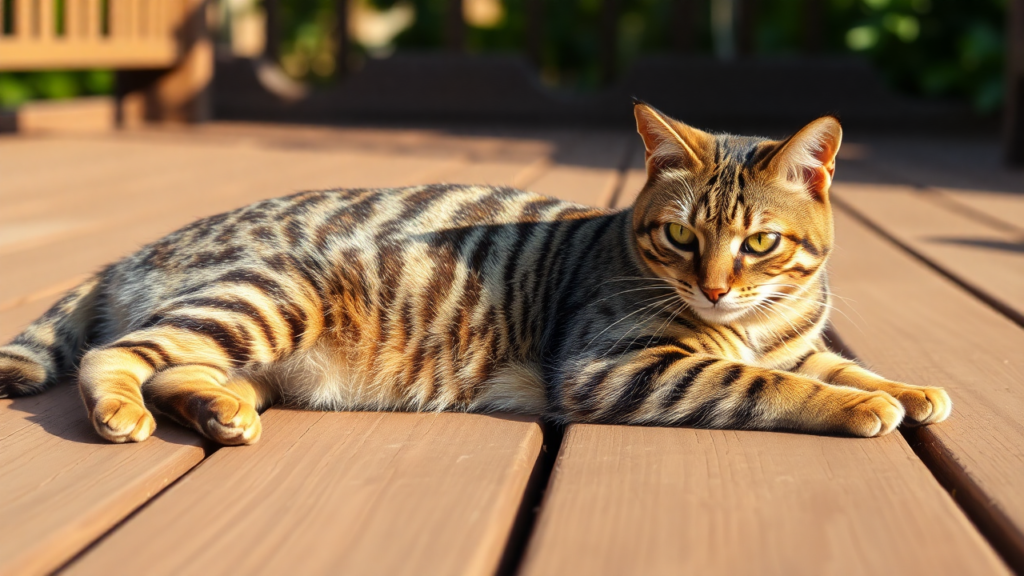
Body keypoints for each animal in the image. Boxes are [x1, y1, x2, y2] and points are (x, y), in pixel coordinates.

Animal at [0, 101, 950, 444]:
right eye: (681, 237)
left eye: (758, 244)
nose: (714, 287)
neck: (752, 318)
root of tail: (141, 248)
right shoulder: (618, 367)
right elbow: (771, 384)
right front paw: (860, 406)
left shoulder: (796, 340)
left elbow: (839, 362)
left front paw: (909, 387)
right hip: (266, 301)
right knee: (118, 355)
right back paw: (123, 410)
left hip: (254, 346)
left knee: (179, 372)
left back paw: (218, 413)